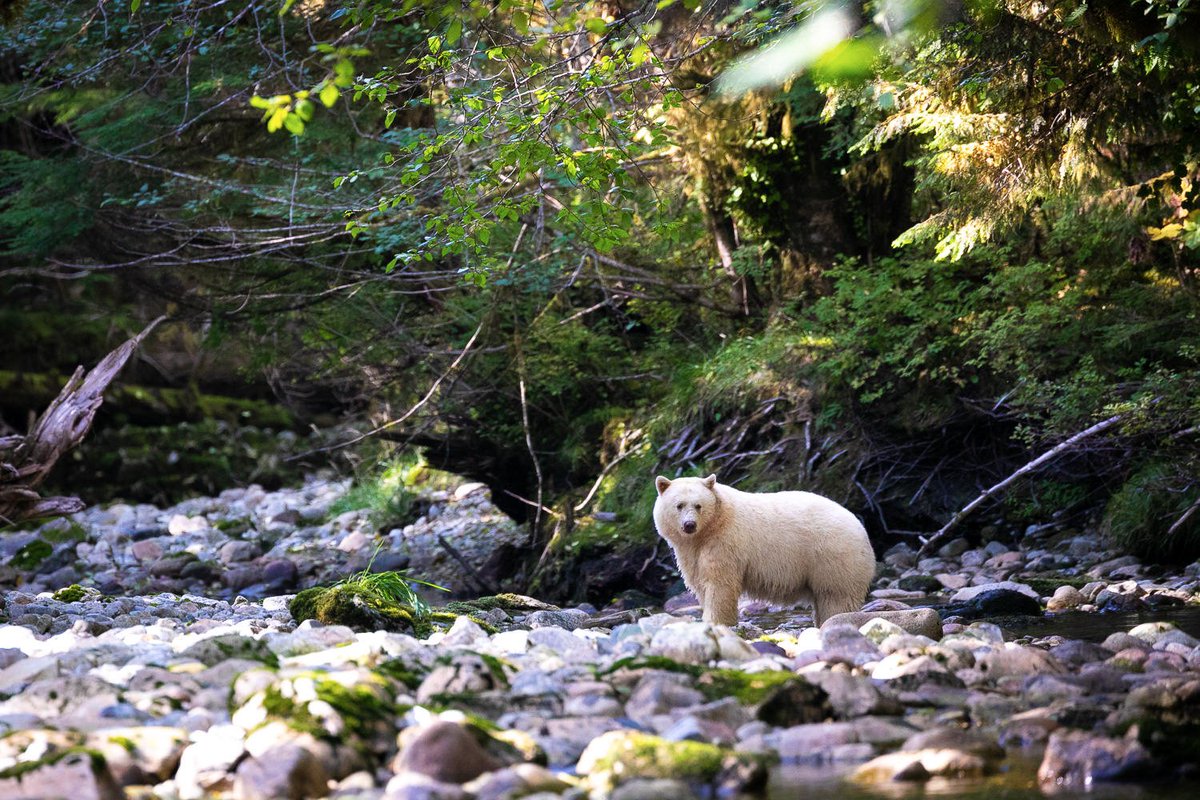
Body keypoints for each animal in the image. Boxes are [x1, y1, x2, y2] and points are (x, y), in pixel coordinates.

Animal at [653, 474, 875, 627]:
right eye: (679, 505)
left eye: (698, 505)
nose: (689, 525)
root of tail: (861, 527)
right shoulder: (693, 552)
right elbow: (700, 582)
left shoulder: (725, 543)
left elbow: (720, 584)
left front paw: (715, 621)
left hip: (833, 556)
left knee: (836, 597)